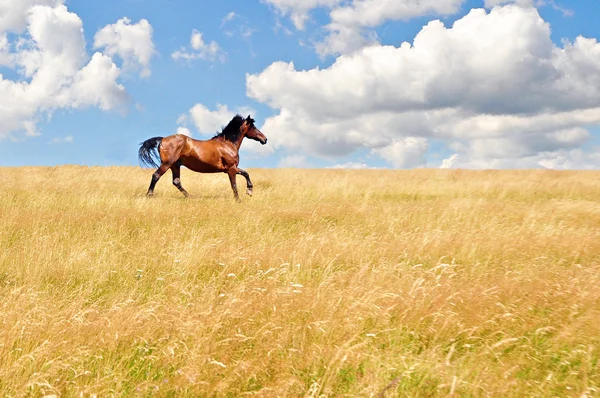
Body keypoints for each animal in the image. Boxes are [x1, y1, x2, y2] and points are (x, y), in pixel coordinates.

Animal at [138, 113, 268, 201]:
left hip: (175, 165)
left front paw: (249, 191)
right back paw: (149, 195)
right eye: (254, 127)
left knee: (176, 181)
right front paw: (239, 200)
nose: (265, 139)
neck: (227, 144)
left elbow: (245, 173)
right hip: (166, 164)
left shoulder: (230, 169)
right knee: (156, 176)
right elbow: (234, 185)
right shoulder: (231, 168)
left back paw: (190, 197)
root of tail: (163, 139)